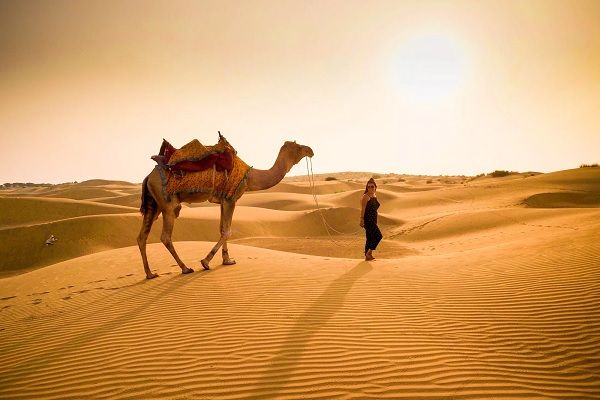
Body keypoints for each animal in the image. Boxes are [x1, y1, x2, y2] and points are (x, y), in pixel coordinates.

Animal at [137, 138, 314, 278]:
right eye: (298, 147)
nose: (311, 150)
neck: (250, 177)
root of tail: (148, 177)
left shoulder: (223, 200)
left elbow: (222, 229)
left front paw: (227, 260)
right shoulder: (231, 198)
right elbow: (228, 231)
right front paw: (206, 261)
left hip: (153, 204)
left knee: (142, 236)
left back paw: (150, 274)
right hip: (167, 204)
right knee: (165, 236)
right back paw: (185, 268)